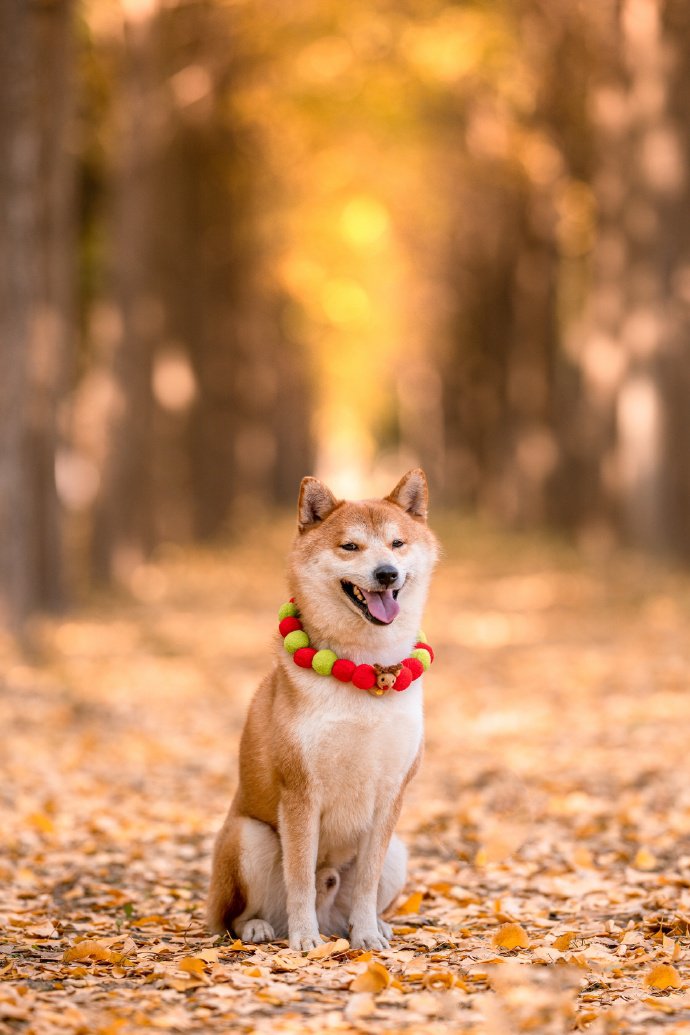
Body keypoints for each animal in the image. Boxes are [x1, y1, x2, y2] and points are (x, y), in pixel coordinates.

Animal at [207, 469, 440, 948]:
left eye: (397, 543)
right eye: (350, 546)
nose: (386, 573)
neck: (368, 670)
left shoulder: (391, 793)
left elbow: (367, 880)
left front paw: (366, 935)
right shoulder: (300, 791)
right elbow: (299, 876)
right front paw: (304, 940)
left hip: (399, 852)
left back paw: (367, 925)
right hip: (248, 836)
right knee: (235, 917)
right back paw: (262, 927)